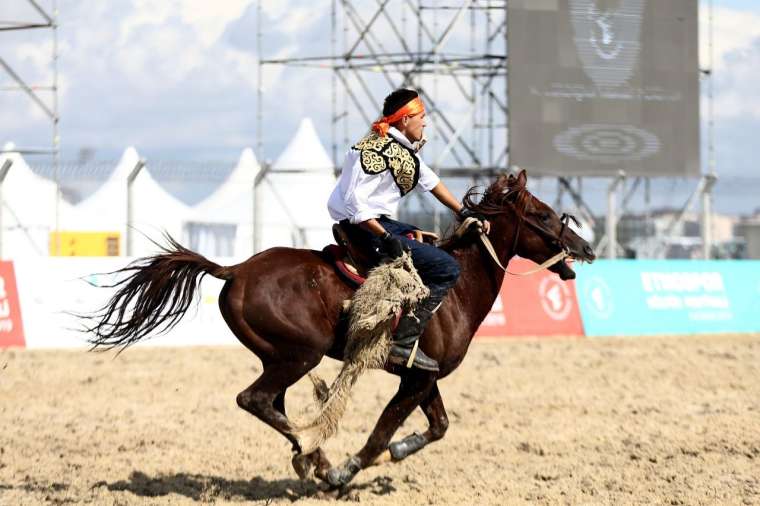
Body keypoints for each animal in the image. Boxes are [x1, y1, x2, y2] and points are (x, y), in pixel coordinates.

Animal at [84, 171, 592, 490]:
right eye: (544, 216)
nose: (584, 247)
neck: (458, 285)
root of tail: (237, 269)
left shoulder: (423, 376)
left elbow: (438, 426)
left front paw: (397, 452)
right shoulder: (416, 377)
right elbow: (381, 433)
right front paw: (352, 469)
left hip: (278, 357)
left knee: (272, 404)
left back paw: (313, 458)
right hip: (298, 354)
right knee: (254, 400)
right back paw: (318, 456)